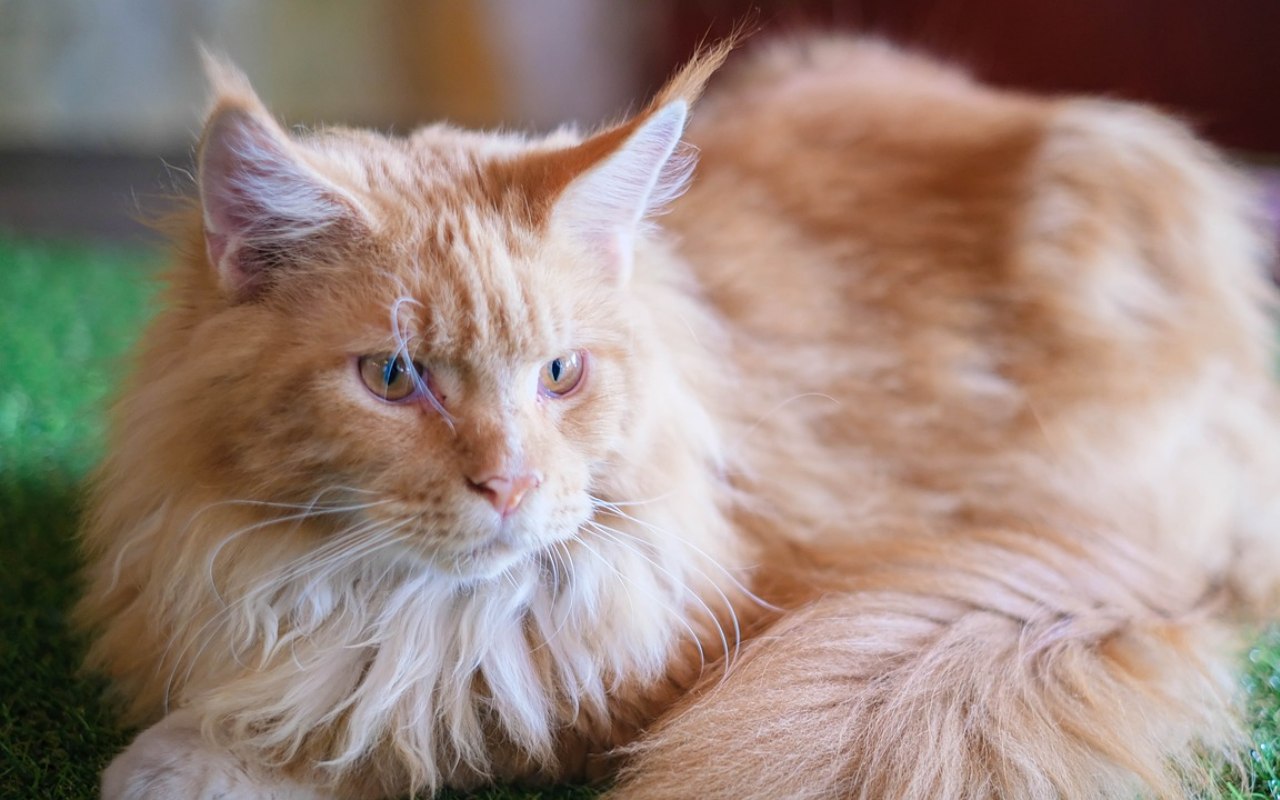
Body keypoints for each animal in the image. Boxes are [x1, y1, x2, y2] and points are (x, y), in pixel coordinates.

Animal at [80, 37, 1280, 798]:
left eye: (560, 372)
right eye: (391, 376)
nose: (509, 483)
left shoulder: (642, 656)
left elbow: (389, 729)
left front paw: (183, 763)